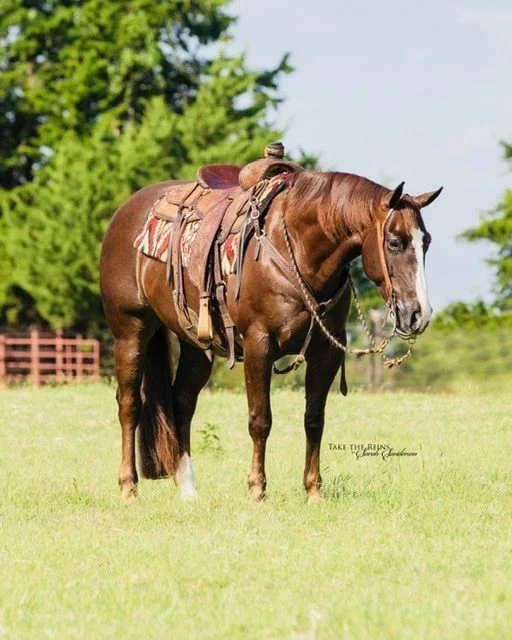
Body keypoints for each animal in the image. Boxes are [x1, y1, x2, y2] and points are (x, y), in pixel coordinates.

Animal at [100, 157, 442, 503]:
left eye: (426, 242)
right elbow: (260, 420)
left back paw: (188, 488)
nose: (419, 314)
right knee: (129, 404)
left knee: (181, 401)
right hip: (130, 331)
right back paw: (128, 487)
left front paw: (313, 491)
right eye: (394, 242)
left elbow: (314, 419)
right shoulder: (258, 344)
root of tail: (125, 211)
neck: (298, 252)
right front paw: (257, 490)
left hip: (197, 346)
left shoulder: (326, 352)